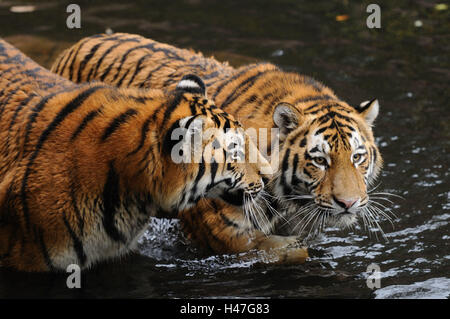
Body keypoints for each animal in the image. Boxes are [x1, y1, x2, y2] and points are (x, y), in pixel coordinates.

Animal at [50, 32, 384, 262]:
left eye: (358, 157)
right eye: (320, 161)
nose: (349, 203)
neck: (290, 203)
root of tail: (79, 43)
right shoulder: (222, 230)